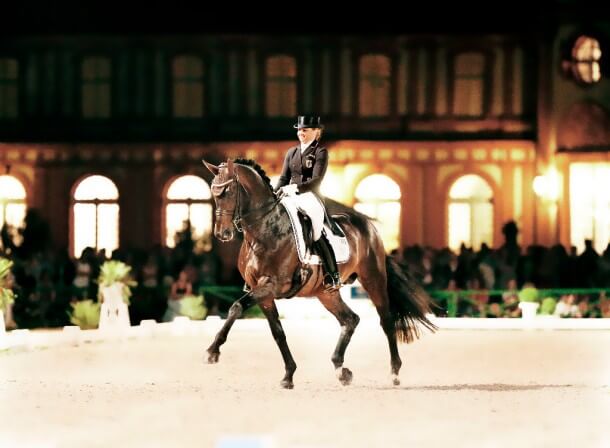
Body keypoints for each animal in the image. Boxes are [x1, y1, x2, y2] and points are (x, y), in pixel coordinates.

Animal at [202, 158, 434, 388]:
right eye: (213, 192)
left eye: (228, 191)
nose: (222, 233)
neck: (264, 230)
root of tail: (369, 224)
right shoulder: (261, 292)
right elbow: (277, 332)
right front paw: (288, 375)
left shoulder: (272, 285)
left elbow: (236, 307)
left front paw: (212, 352)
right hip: (326, 293)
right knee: (350, 319)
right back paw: (342, 370)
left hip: (373, 279)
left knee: (386, 320)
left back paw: (394, 372)